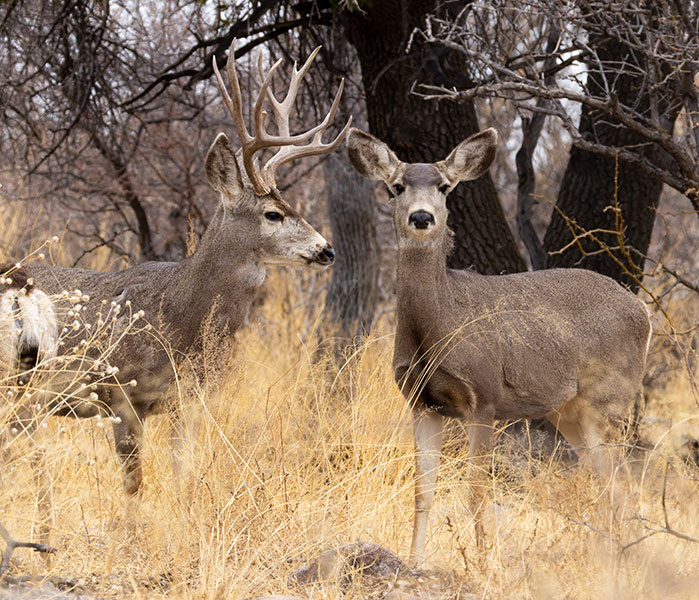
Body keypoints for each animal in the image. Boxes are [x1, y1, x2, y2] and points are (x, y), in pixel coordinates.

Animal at [8, 41, 350, 502]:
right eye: (273, 214)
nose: (326, 250)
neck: (179, 314)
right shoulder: (123, 396)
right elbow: (134, 487)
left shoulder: (188, 402)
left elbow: (182, 474)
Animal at [346, 127, 652, 565]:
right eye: (397, 186)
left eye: (444, 186)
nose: (421, 217)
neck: (436, 329)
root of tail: (644, 310)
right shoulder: (421, 404)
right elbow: (422, 492)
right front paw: (415, 561)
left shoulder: (484, 396)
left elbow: (476, 490)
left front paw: (480, 561)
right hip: (568, 411)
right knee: (605, 478)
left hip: (609, 400)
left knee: (622, 479)